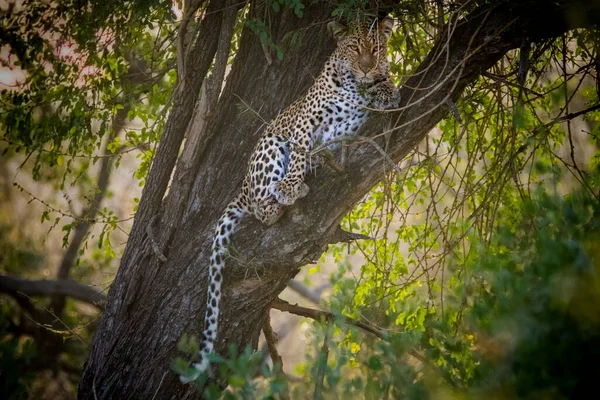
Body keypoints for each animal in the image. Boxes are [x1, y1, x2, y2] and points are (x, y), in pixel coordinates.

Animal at [186, 14, 404, 376]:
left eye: (375, 48)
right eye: (353, 47)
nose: (366, 68)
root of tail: (242, 188)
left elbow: (381, 90)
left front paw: (387, 87)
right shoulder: (304, 122)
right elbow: (301, 150)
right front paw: (291, 185)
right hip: (271, 144)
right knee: (262, 207)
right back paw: (282, 197)